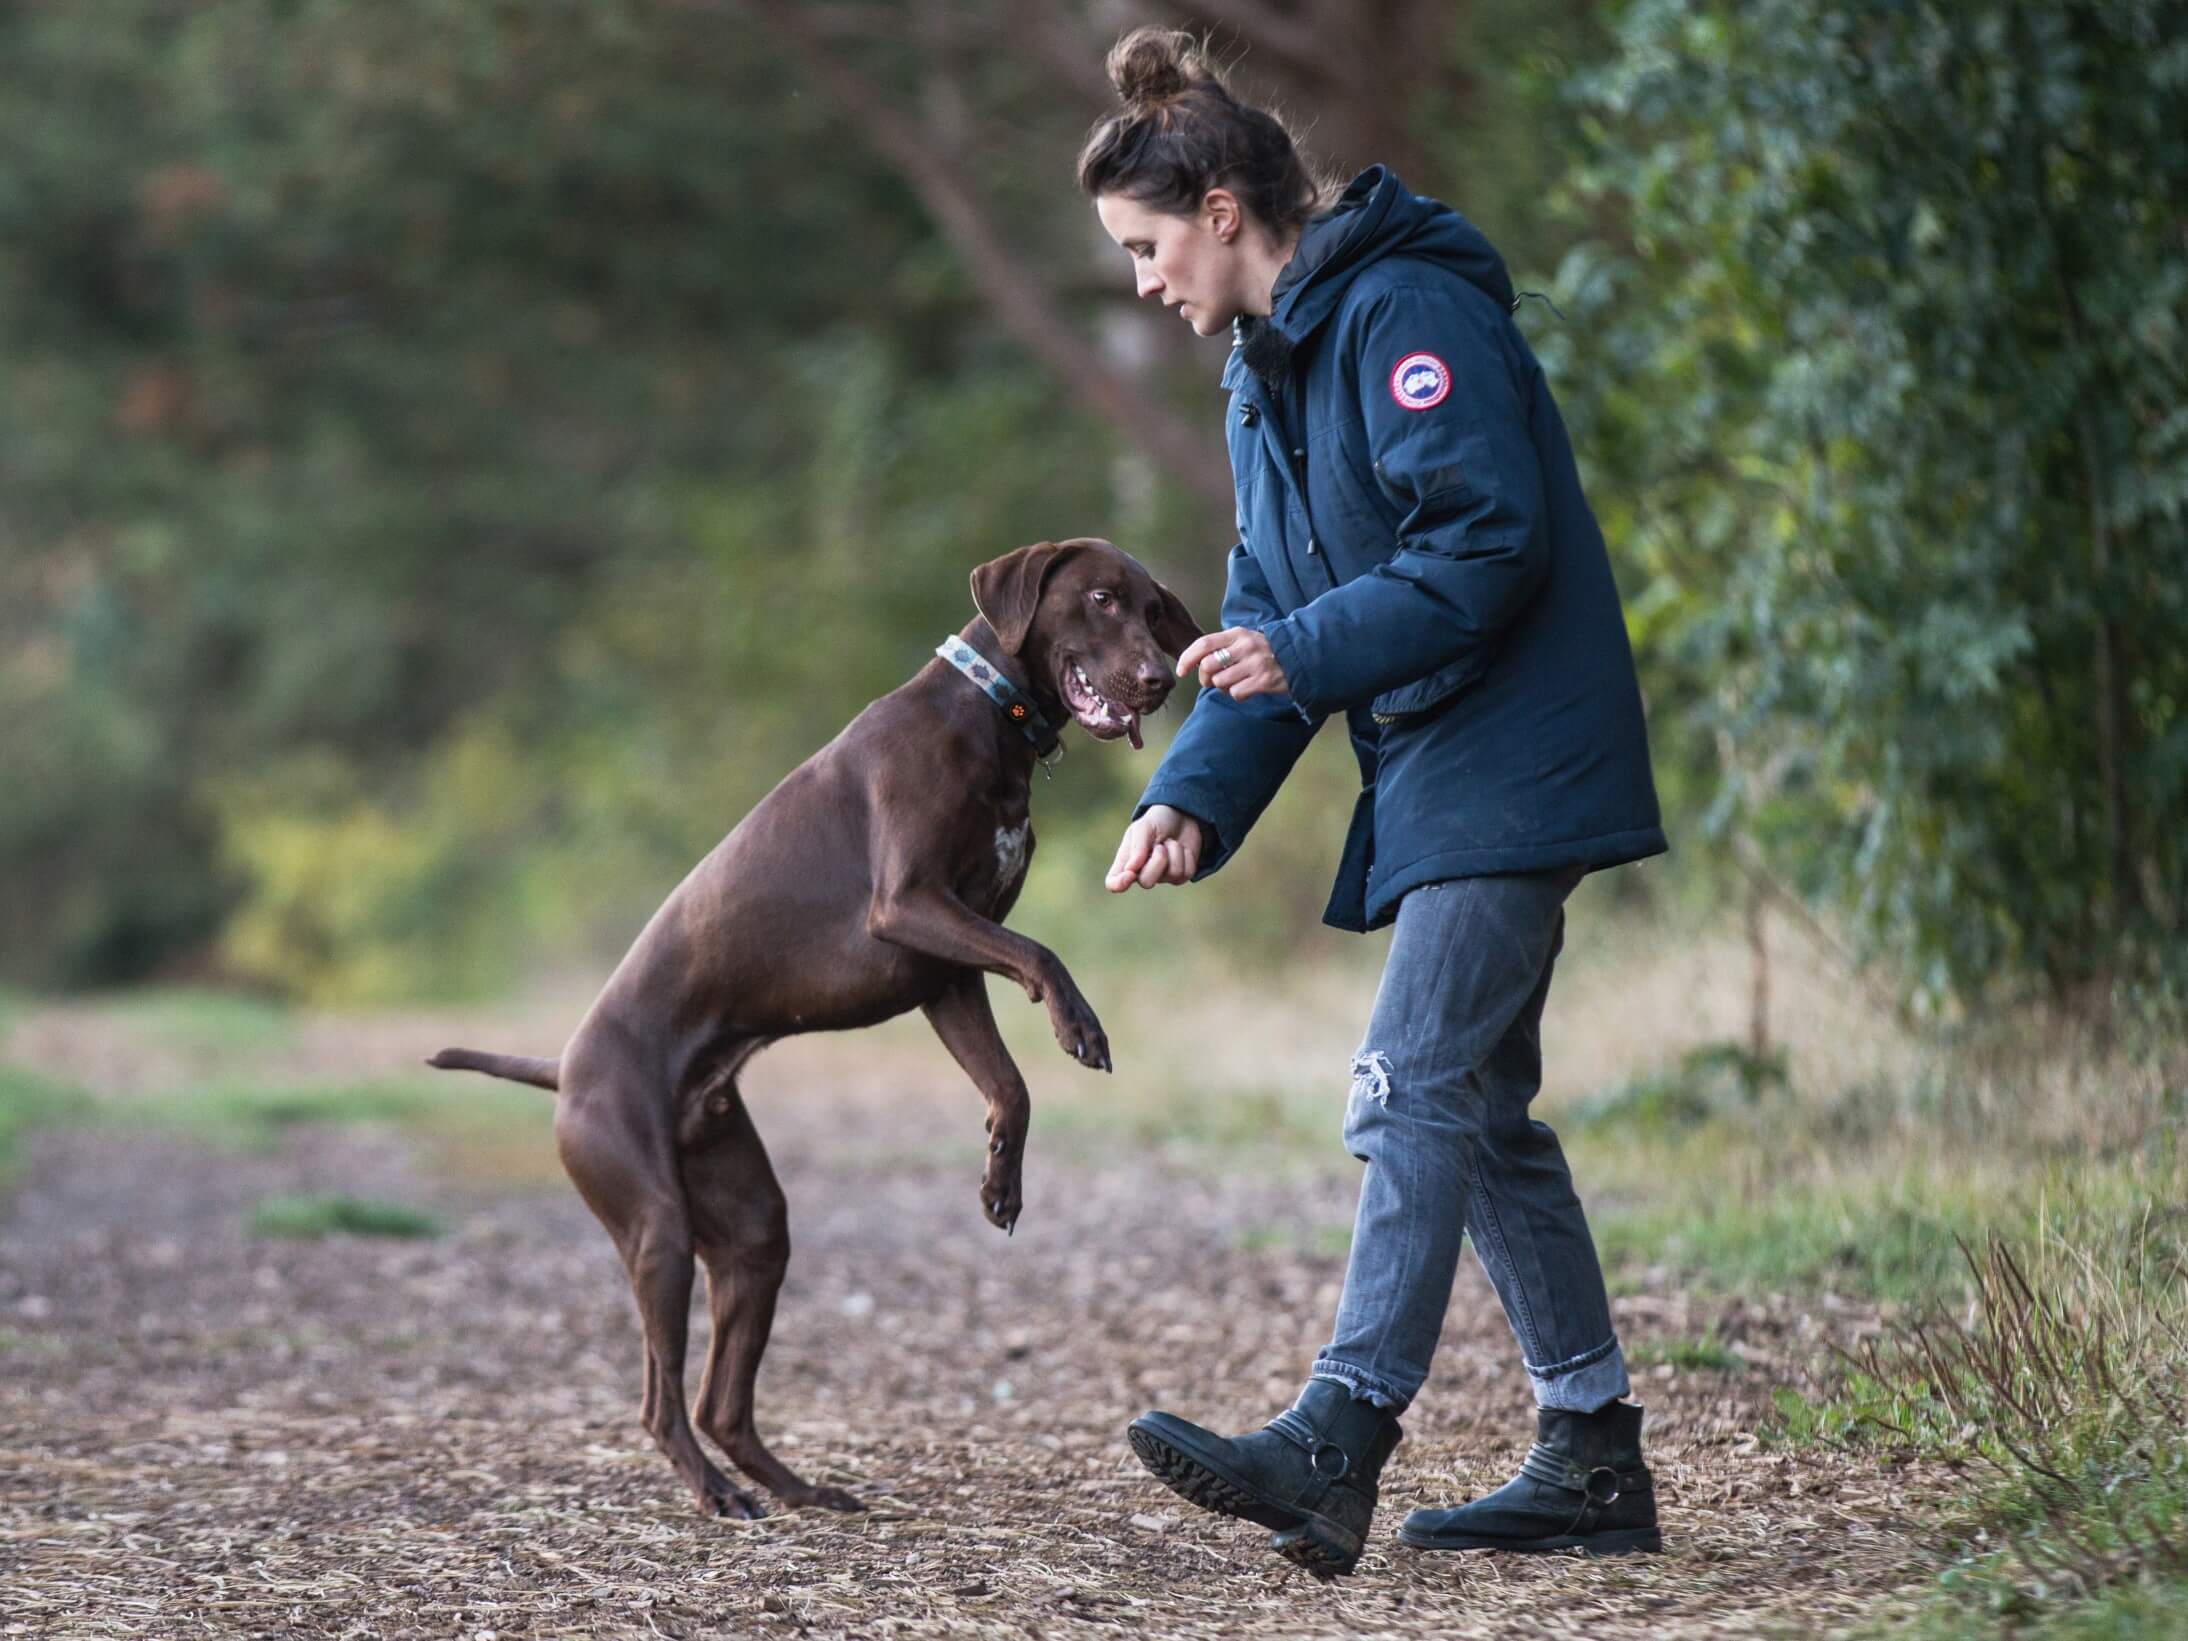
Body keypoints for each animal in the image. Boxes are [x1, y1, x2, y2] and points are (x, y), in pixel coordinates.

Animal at [424, 547, 1199, 1522]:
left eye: (1153, 609)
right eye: (1099, 598)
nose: (1160, 679)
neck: (986, 711)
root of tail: (565, 1067)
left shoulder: (944, 970)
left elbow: (1009, 1084)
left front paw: (1001, 1180)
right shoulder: (908, 907)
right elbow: (1042, 953)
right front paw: (1078, 1023)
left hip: (751, 1229)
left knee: (721, 1401)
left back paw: (801, 1489)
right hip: (655, 1224)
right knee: (659, 1400)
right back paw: (718, 1495)